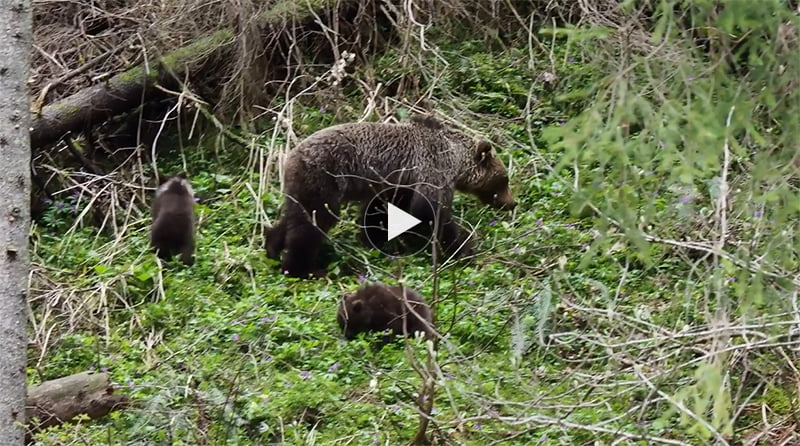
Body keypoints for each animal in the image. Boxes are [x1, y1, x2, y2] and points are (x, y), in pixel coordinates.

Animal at [265, 115, 516, 278]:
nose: (512, 203)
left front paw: (376, 242)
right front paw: (465, 248)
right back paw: (304, 269)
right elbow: (429, 212)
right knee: (313, 223)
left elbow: (381, 212)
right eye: (504, 179)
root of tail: (290, 155)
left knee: (294, 217)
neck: (456, 158)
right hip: (323, 178)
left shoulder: (398, 182)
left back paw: (272, 248)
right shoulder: (433, 169)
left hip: (302, 186)